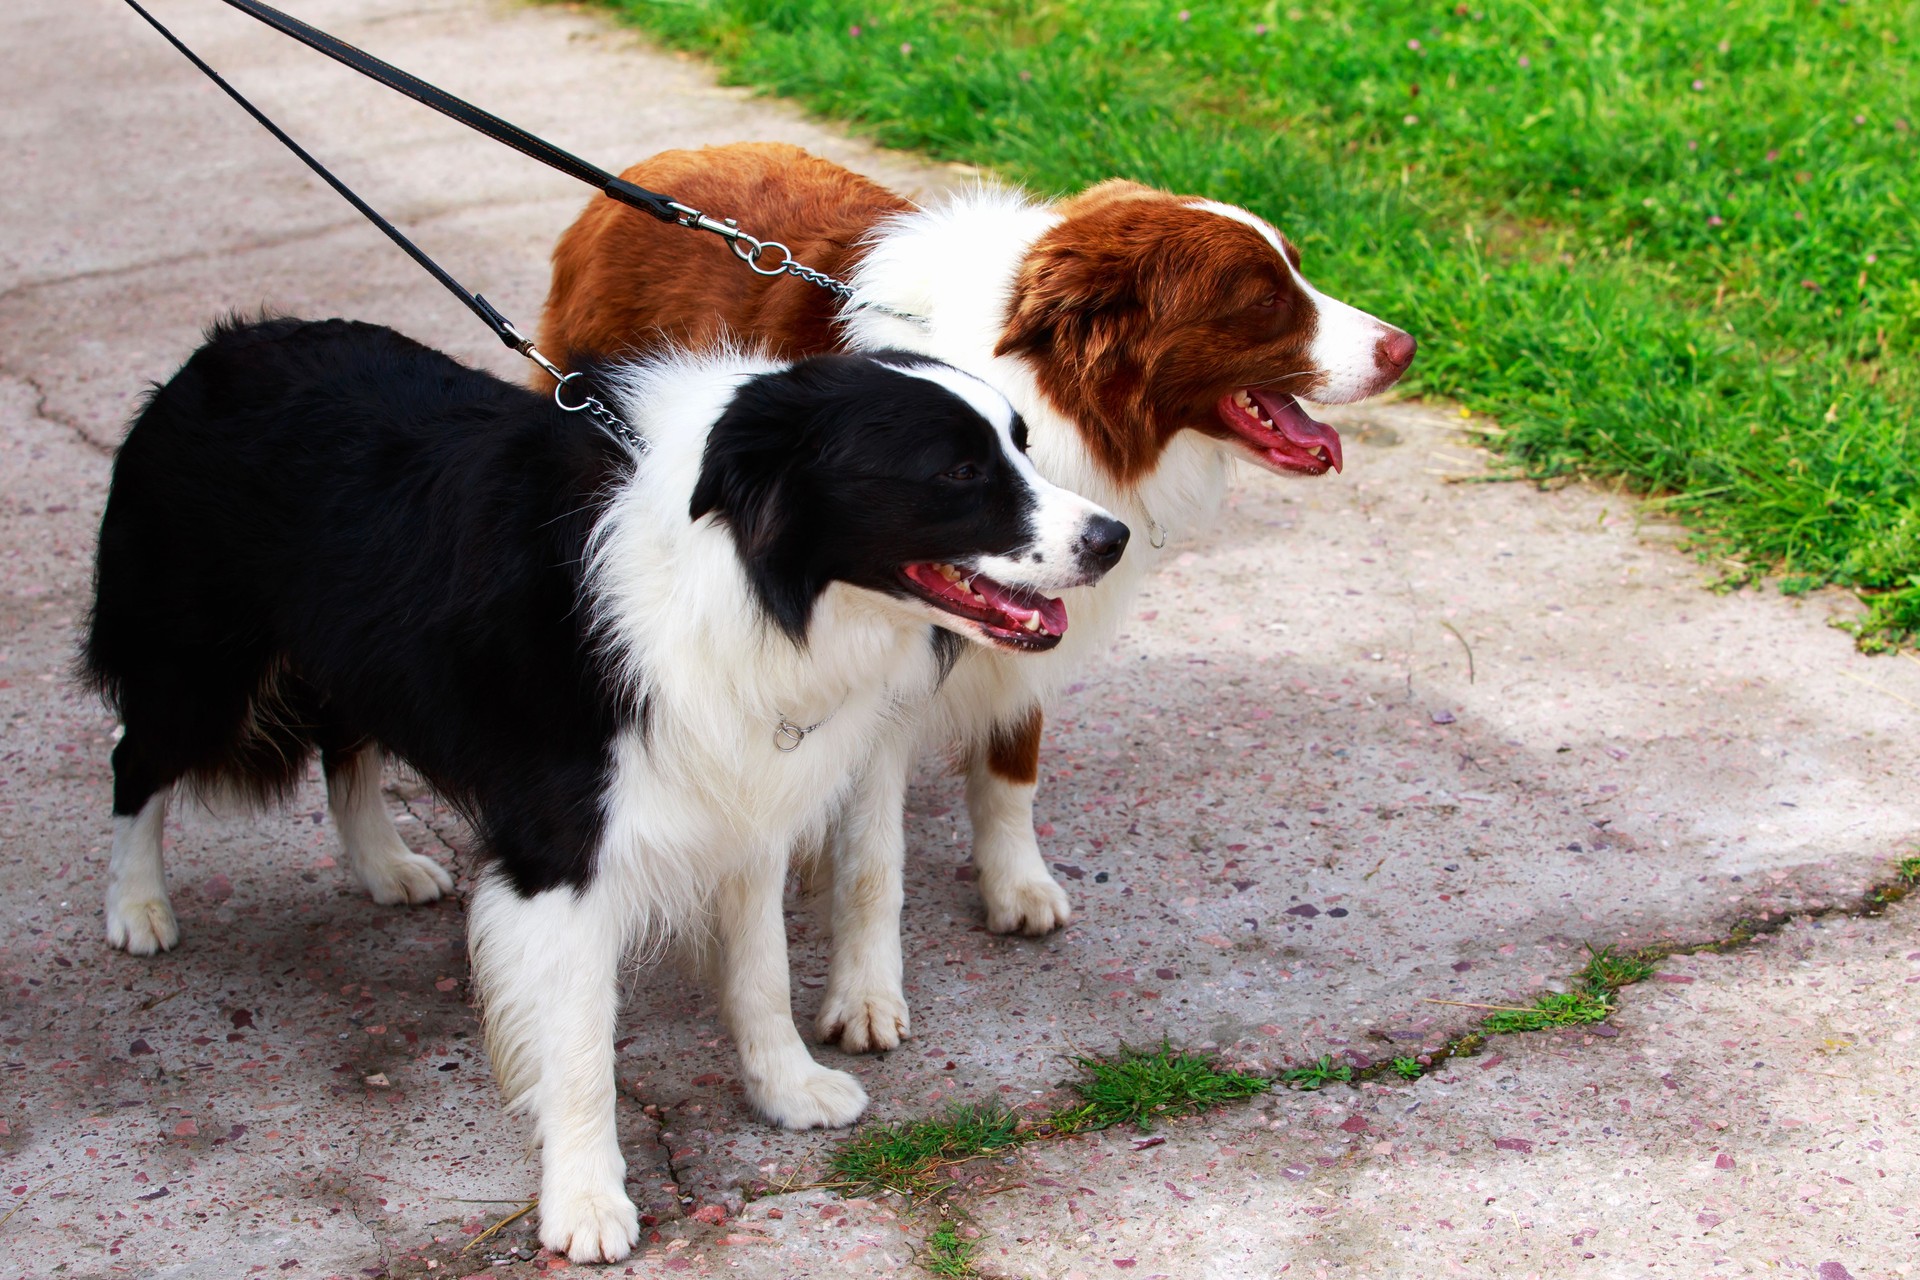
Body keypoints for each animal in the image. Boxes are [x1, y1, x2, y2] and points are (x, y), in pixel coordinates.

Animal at [82, 320, 1121, 1258]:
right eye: (957, 474)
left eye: (1023, 445)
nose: (1110, 538)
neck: (741, 569)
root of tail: (220, 349)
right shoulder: (561, 850)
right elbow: (582, 1049)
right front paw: (583, 1202)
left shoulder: (742, 795)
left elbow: (761, 971)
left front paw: (785, 1088)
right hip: (195, 659)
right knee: (137, 758)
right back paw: (135, 906)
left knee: (347, 741)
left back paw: (382, 863)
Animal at [541, 144, 1413, 1059]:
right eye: (1264, 299)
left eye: (1297, 271)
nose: (1407, 347)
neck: (1054, 394)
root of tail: (656, 163)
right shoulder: (880, 676)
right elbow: (873, 862)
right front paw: (865, 993)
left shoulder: (1029, 618)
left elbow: (1010, 768)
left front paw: (1014, 883)